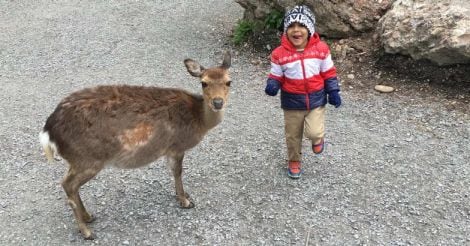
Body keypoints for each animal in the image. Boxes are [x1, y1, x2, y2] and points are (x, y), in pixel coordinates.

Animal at [37, 51, 232, 238]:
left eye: (229, 82)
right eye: (204, 83)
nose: (217, 102)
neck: (199, 120)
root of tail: (48, 131)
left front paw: (184, 195)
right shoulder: (176, 145)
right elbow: (178, 172)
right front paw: (185, 201)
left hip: (77, 160)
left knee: (71, 185)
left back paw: (89, 216)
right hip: (88, 158)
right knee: (68, 184)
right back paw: (87, 232)